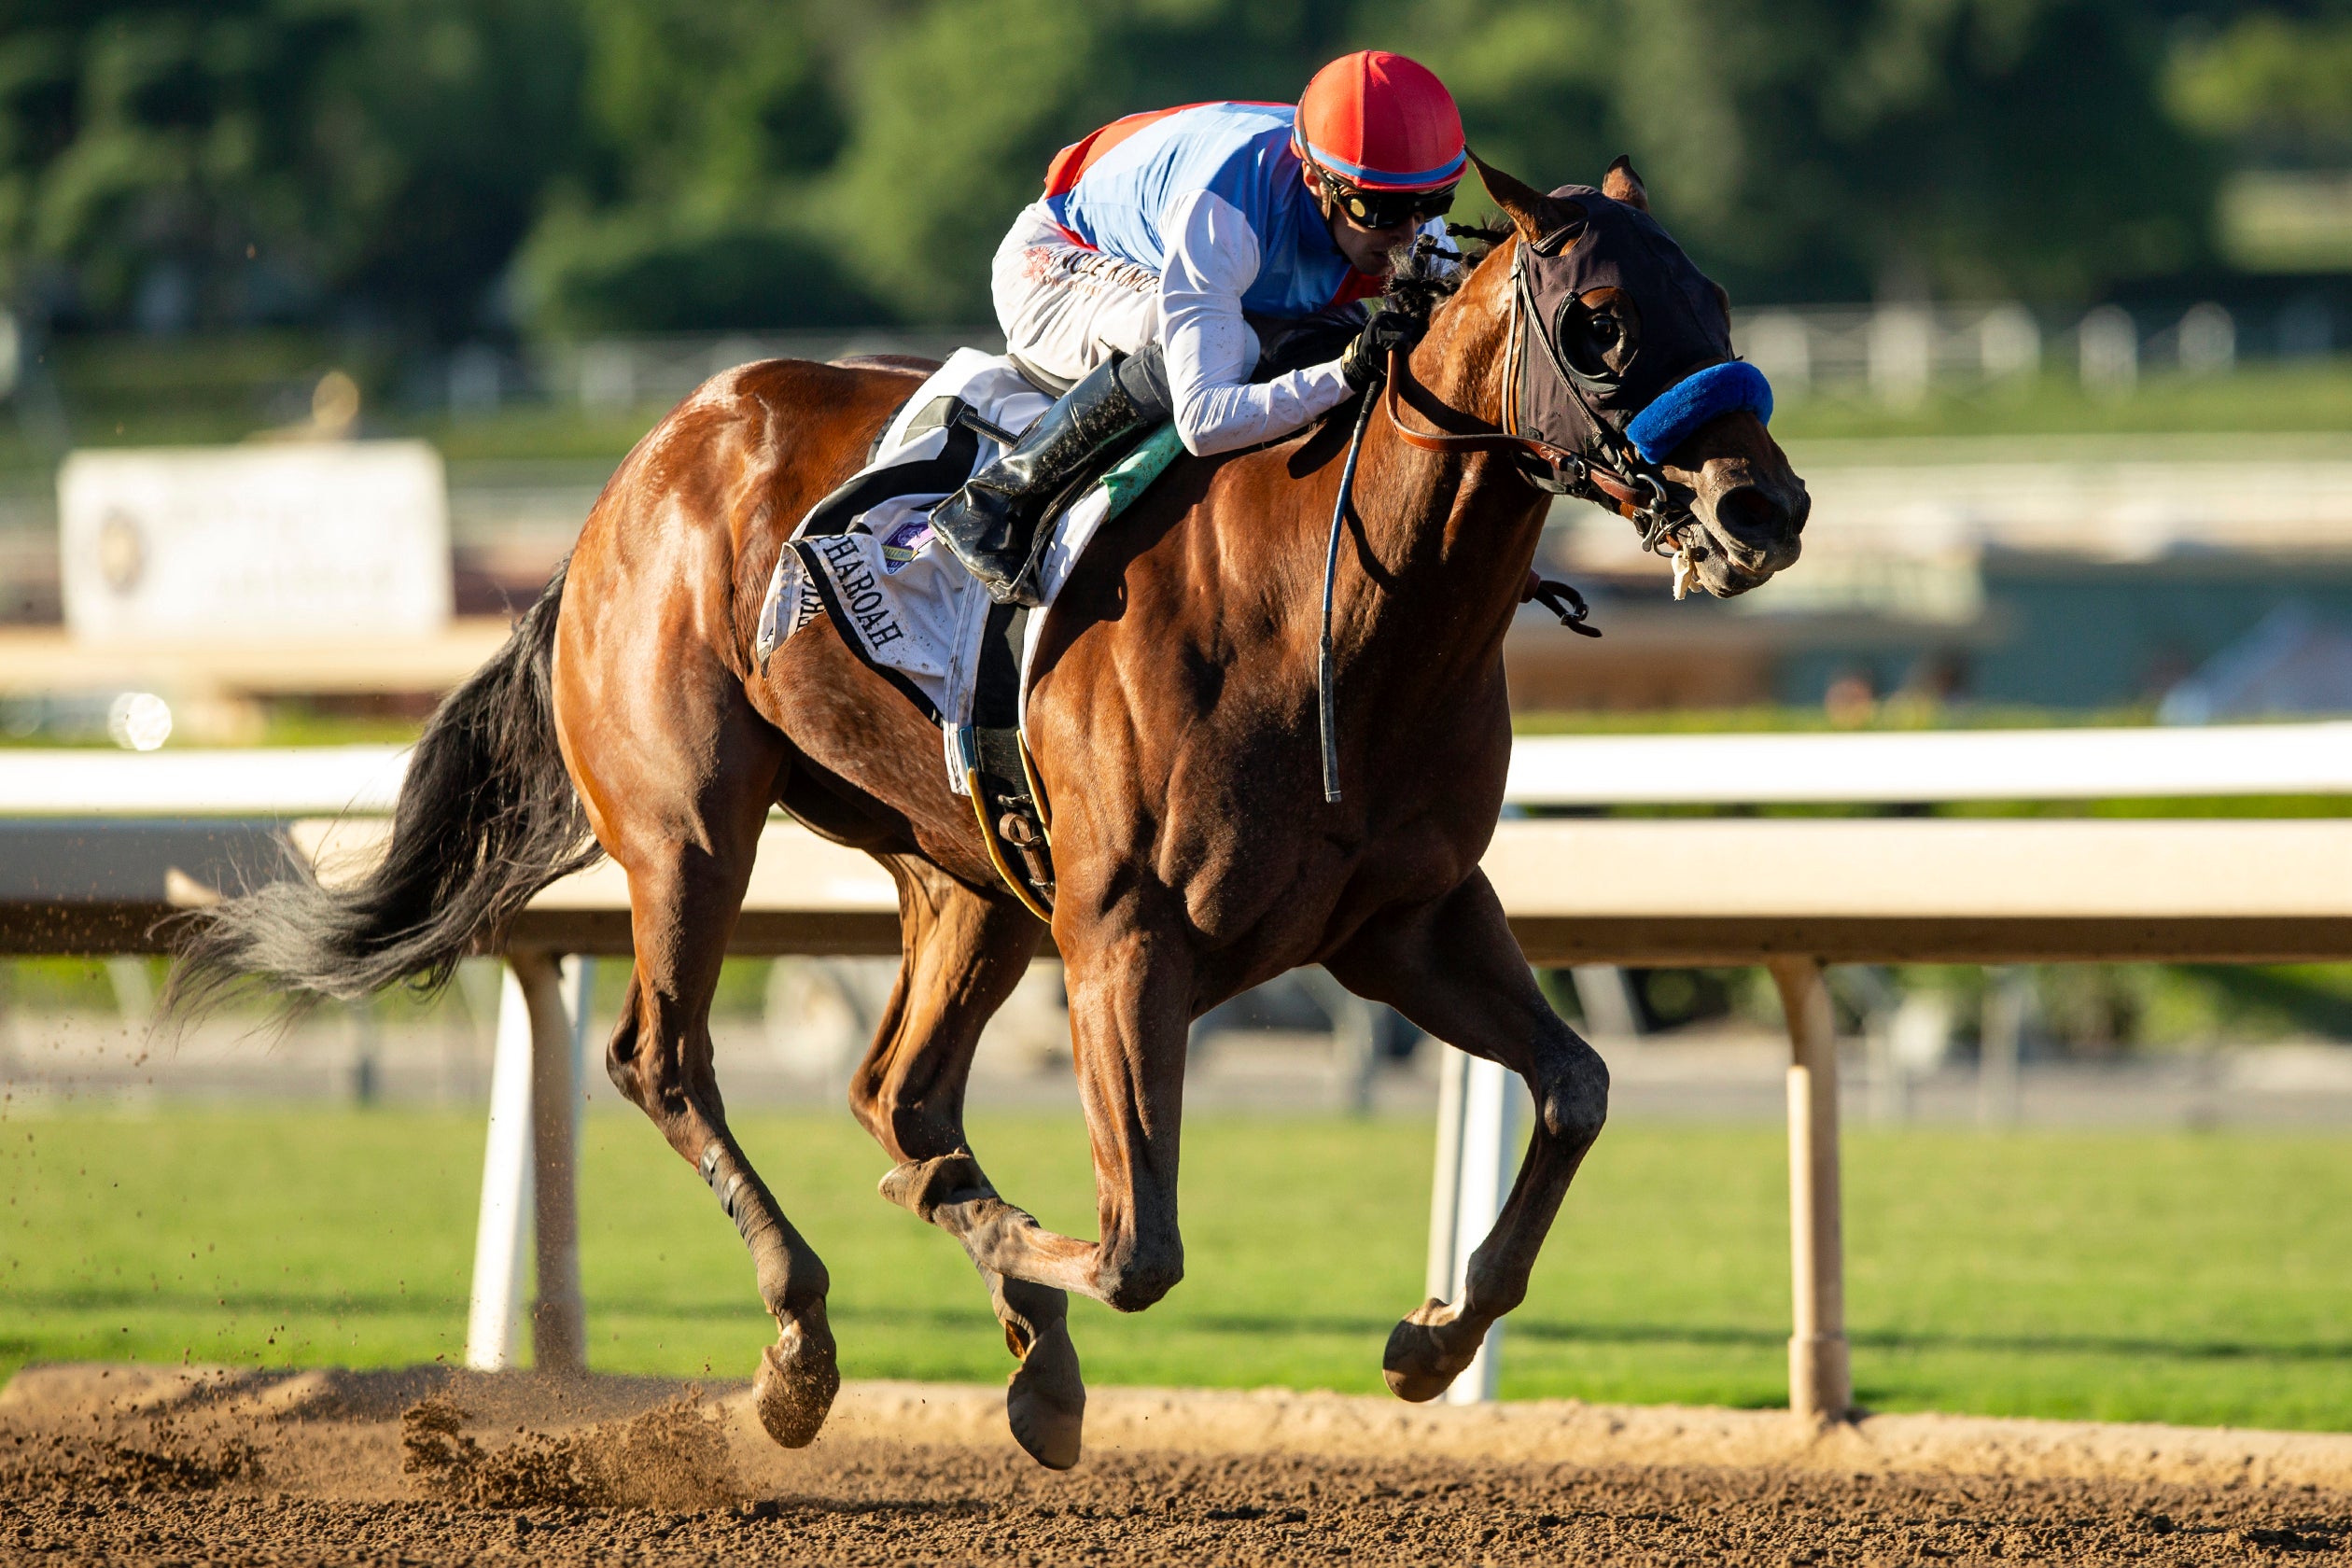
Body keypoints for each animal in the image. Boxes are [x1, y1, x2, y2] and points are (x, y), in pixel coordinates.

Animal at [169, 155, 1808, 1472]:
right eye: (1598, 319)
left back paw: (1021, 1352)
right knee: (667, 1060)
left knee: (896, 1088)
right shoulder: (1127, 936)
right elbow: (1139, 1248)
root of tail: (635, 474)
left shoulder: (1403, 918)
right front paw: (1016, 1247)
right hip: (693, 828)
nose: (1765, 509)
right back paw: (805, 1352)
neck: (1336, 610)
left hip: (968, 875)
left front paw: (1433, 1337)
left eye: (1721, 299)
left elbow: (1578, 1086)